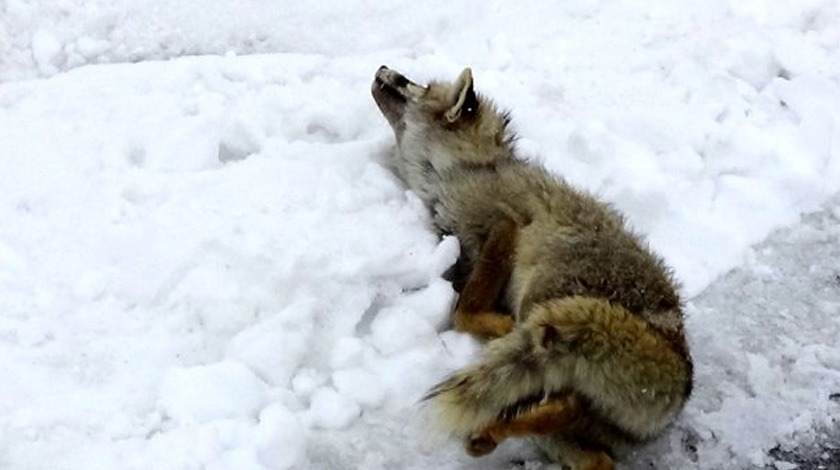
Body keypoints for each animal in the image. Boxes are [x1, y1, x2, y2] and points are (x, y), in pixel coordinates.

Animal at [370, 66, 692, 470]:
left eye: (417, 85)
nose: (382, 69)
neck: (460, 170)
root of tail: (683, 379)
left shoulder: (502, 226)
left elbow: (464, 310)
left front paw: (495, 323)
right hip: (561, 404)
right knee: (588, 442)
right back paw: (491, 436)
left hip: (542, 305)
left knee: (564, 401)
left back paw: (495, 426)